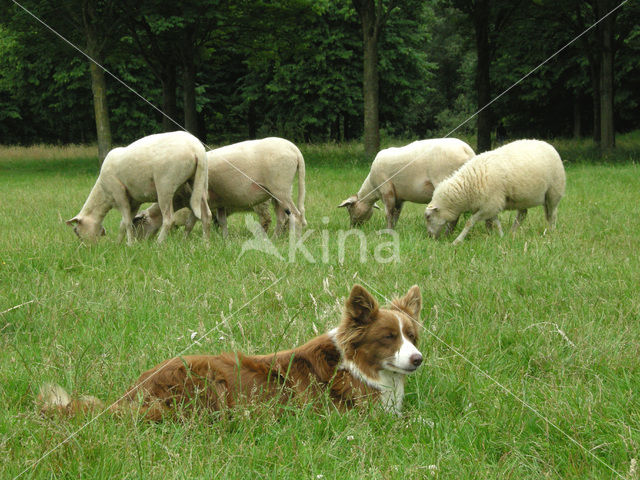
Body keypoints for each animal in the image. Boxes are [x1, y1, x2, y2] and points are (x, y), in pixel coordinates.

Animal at [38, 284, 420, 420]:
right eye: (388, 337)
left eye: (413, 336)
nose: (418, 359)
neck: (356, 367)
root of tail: (134, 390)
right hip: (207, 381)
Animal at [67, 130, 212, 246]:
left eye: (76, 231)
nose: (88, 248)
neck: (103, 194)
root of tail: (197, 149)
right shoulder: (134, 201)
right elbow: (124, 224)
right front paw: (118, 244)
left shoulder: (119, 193)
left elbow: (126, 222)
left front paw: (130, 244)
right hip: (199, 182)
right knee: (206, 214)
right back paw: (206, 243)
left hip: (165, 185)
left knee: (169, 219)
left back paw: (159, 244)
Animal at [134, 137, 306, 238]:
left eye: (140, 225)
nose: (141, 244)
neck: (177, 197)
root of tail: (295, 150)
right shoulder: (220, 203)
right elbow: (222, 222)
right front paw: (225, 240)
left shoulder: (196, 204)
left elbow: (190, 224)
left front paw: (184, 240)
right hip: (276, 194)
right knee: (282, 218)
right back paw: (275, 239)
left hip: (280, 189)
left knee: (295, 216)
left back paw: (295, 240)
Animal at [340, 139, 476, 229]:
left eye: (349, 209)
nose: (352, 227)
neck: (372, 187)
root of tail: (466, 150)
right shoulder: (399, 197)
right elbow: (396, 214)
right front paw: (393, 229)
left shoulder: (386, 190)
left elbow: (388, 213)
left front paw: (387, 231)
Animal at [424, 138, 564, 244]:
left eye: (428, 217)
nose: (430, 237)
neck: (468, 185)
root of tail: (548, 145)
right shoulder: (492, 204)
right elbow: (496, 222)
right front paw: (501, 236)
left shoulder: (490, 205)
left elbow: (470, 222)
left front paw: (457, 241)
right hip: (522, 197)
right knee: (522, 214)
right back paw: (512, 233)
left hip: (553, 192)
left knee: (552, 215)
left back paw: (551, 232)